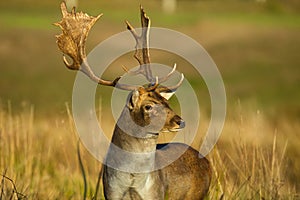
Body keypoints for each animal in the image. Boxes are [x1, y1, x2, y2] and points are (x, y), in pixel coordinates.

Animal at [55, 1, 212, 200]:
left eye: (166, 102)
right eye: (148, 106)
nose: (180, 121)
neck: (131, 181)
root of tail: (207, 162)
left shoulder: (156, 194)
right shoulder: (111, 193)